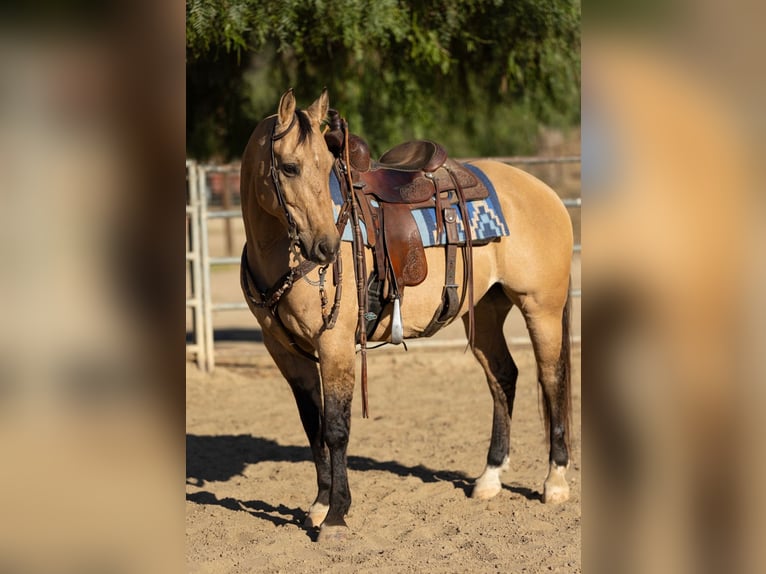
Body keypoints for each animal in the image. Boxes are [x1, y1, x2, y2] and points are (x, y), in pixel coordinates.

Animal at [239, 88, 574, 542]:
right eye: (289, 167)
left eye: (327, 167)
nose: (326, 246)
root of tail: (546, 192)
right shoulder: (285, 353)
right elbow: (313, 427)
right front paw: (319, 505)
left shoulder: (335, 345)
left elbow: (337, 429)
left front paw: (337, 516)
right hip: (485, 312)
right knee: (503, 377)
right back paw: (489, 478)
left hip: (542, 308)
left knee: (552, 379)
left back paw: (555, 481)